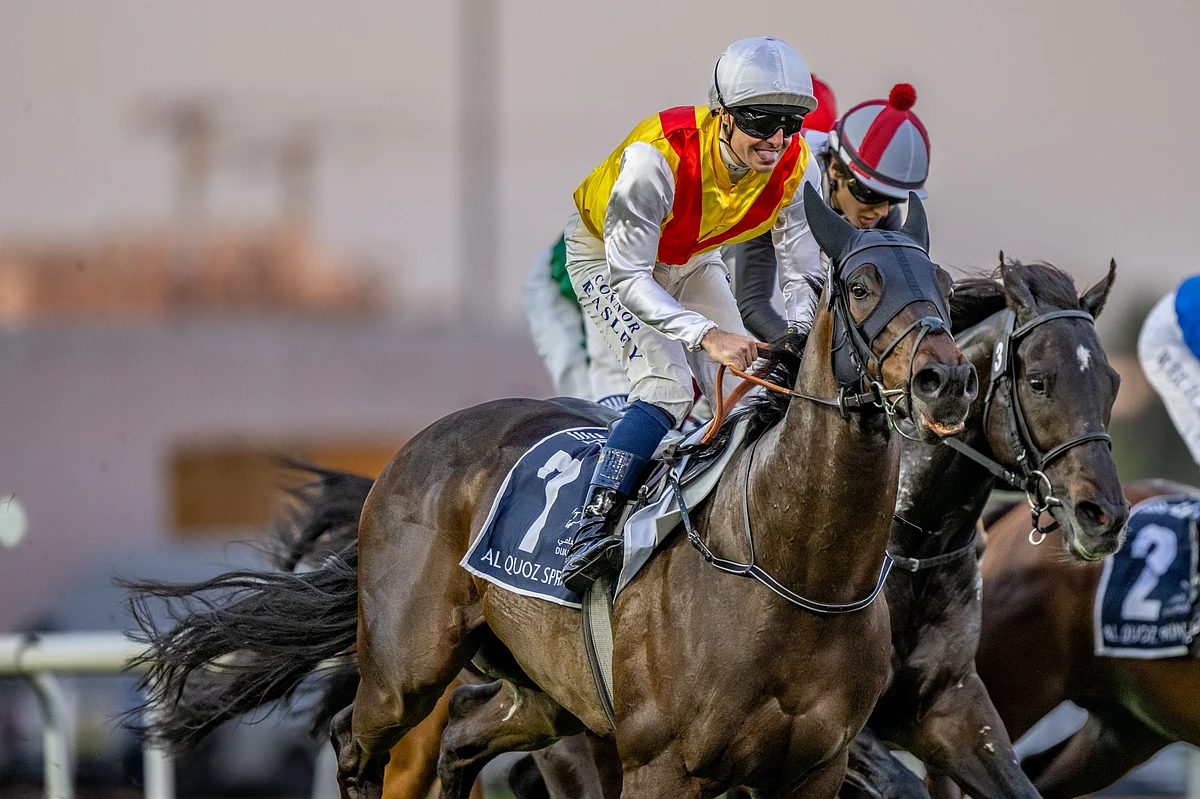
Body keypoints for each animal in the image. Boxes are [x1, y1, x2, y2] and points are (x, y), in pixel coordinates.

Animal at [128, 187, 976, 799]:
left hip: (544, 691)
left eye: (944, 284)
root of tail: (408, 453)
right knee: (355, 742)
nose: (947, 378)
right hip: (407, 666)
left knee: (461, 741)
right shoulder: (661, 764)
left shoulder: (814, 768)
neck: (793, 572)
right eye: (860, 283)